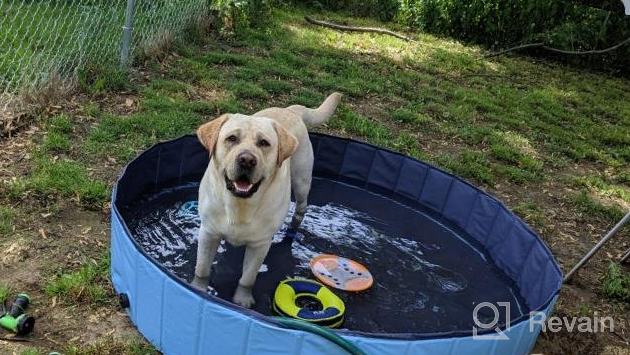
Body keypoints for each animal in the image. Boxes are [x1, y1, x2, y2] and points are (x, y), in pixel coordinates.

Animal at [193, 93, 344, 308]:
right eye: (231, 138)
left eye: (264, 143)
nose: (247, 160)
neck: (241, 206)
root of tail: (290, 109)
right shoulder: (208, 232)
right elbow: (202, 269)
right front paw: (197, 289)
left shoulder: (261, 244)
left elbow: (247, 278)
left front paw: (242, 299)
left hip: (302, 182)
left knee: (300, 211)